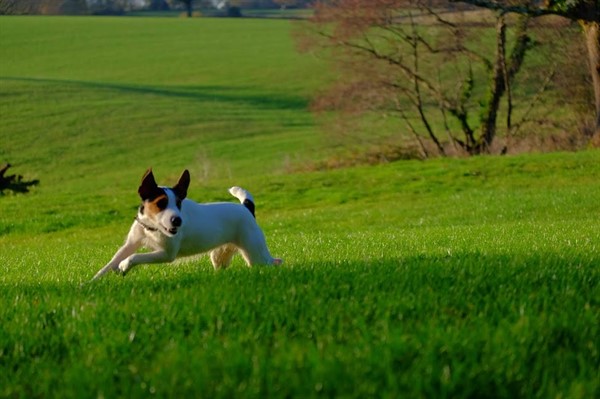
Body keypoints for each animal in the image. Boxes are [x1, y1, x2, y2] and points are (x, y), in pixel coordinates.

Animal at [92, 169, 284, 282]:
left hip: (255, 252)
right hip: (219, 255)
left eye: (178, 203)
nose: (177, 220)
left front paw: (125, 265)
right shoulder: (131, 243)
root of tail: (246, 208)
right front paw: (92, 283)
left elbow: (135, 257)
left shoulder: (166, 254)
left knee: (273, 262)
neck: (152, 229)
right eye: (161, 203)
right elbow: (110, 263)